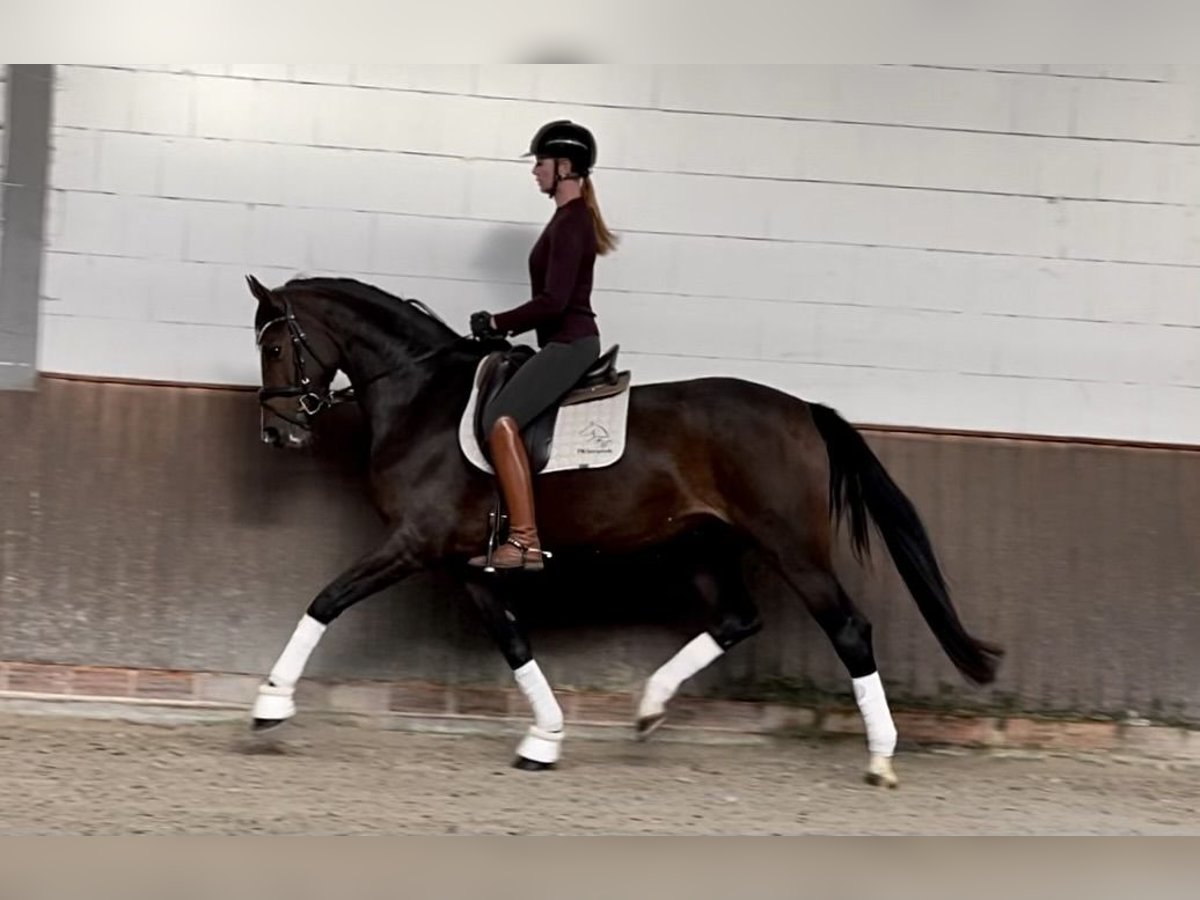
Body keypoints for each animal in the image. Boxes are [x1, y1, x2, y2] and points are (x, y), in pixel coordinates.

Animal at [246, 273, 1003, 787]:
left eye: (278, 344)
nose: (279, 433)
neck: (422, 397)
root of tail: (803, 410)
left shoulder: (414, 543)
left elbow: (325, 600)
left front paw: (270, 705)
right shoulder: (467, 562)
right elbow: (514, 641)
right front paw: (545, 739)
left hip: (791, 546)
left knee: (848, 629)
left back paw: (880, 758)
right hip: (702, 545)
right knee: (736, 619)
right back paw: (648, 707)